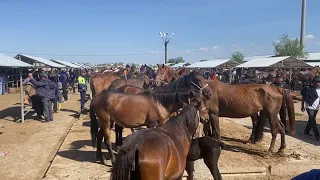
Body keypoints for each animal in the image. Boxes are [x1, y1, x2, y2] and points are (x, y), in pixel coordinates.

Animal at [156, 71, 296, 155]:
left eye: (201, 79)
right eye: (196, 81)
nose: (209, 94)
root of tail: (277, 88)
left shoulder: (213, 114)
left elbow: (216, 130)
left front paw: (218, 145)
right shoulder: (207, 114)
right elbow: (209, 130)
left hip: (270, 113)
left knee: (274, 130)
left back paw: (269, 151)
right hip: (269, 114)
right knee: (280, 128)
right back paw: (281, 149)